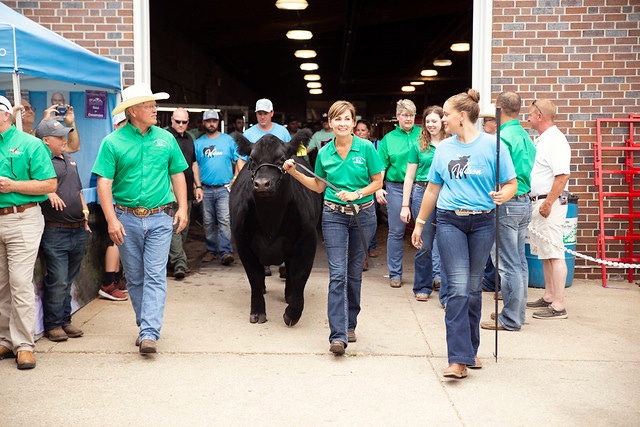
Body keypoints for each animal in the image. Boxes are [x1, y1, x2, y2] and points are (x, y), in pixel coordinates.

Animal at [230, 129, 322, 326]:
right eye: (252, 159)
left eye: (281, 159)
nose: (262, 184)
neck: (270, 220)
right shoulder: (242, 242)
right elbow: (255, 277)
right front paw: (257, 312)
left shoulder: (308, 241)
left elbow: (299, 275)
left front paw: (292, 313)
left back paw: (289, 295)